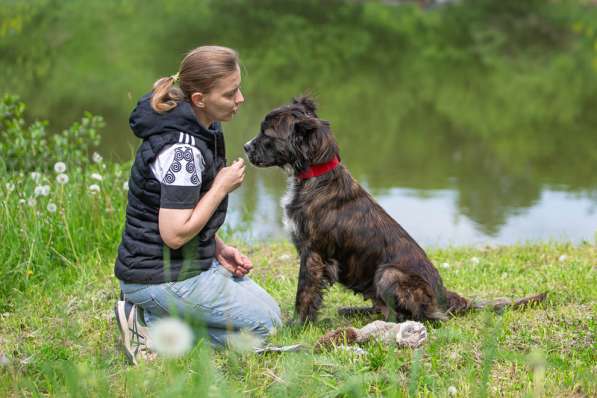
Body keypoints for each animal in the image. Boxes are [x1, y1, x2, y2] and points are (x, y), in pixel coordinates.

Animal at [243, 96, 544, 324]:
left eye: (267, 134)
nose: (245, 147)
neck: (317, 175)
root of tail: (444, 295)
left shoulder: (313, 254)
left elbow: (304, 293)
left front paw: (296, 326)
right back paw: (353, 311)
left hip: (388, 274)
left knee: (419, 316)